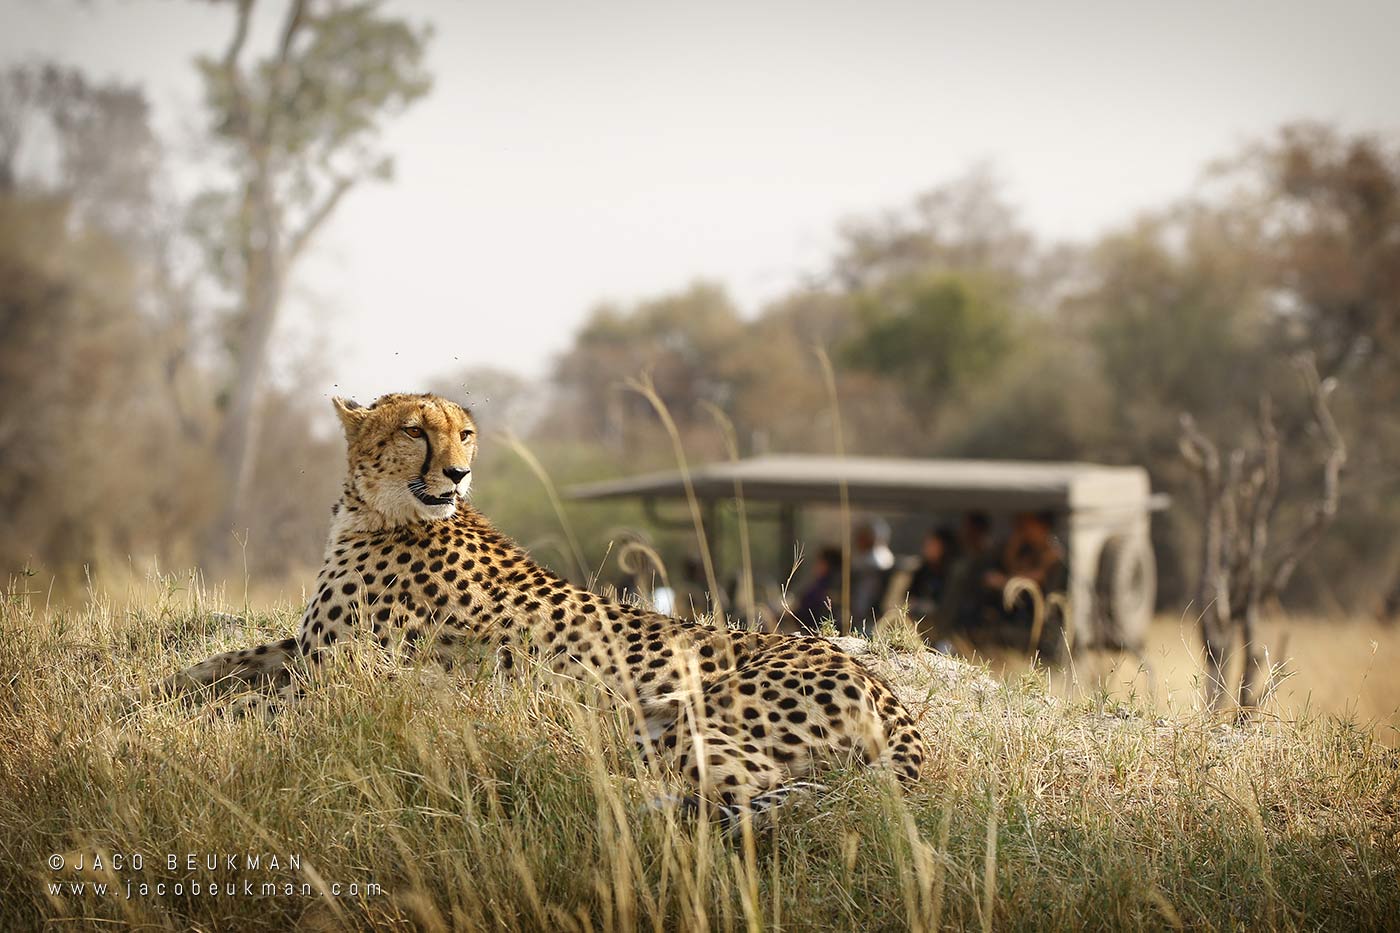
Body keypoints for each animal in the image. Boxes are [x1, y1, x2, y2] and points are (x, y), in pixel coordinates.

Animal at [158, 392, 927, 828]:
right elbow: (222, 662)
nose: (459, 472)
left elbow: (247, 705)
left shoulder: (342, 673)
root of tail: (883, 685)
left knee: (771, 790)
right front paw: (162, 690)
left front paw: (174, 720)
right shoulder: (308, 646)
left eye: (464, 433)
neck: (379, 510)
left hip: (681, 719)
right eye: (414, 431)